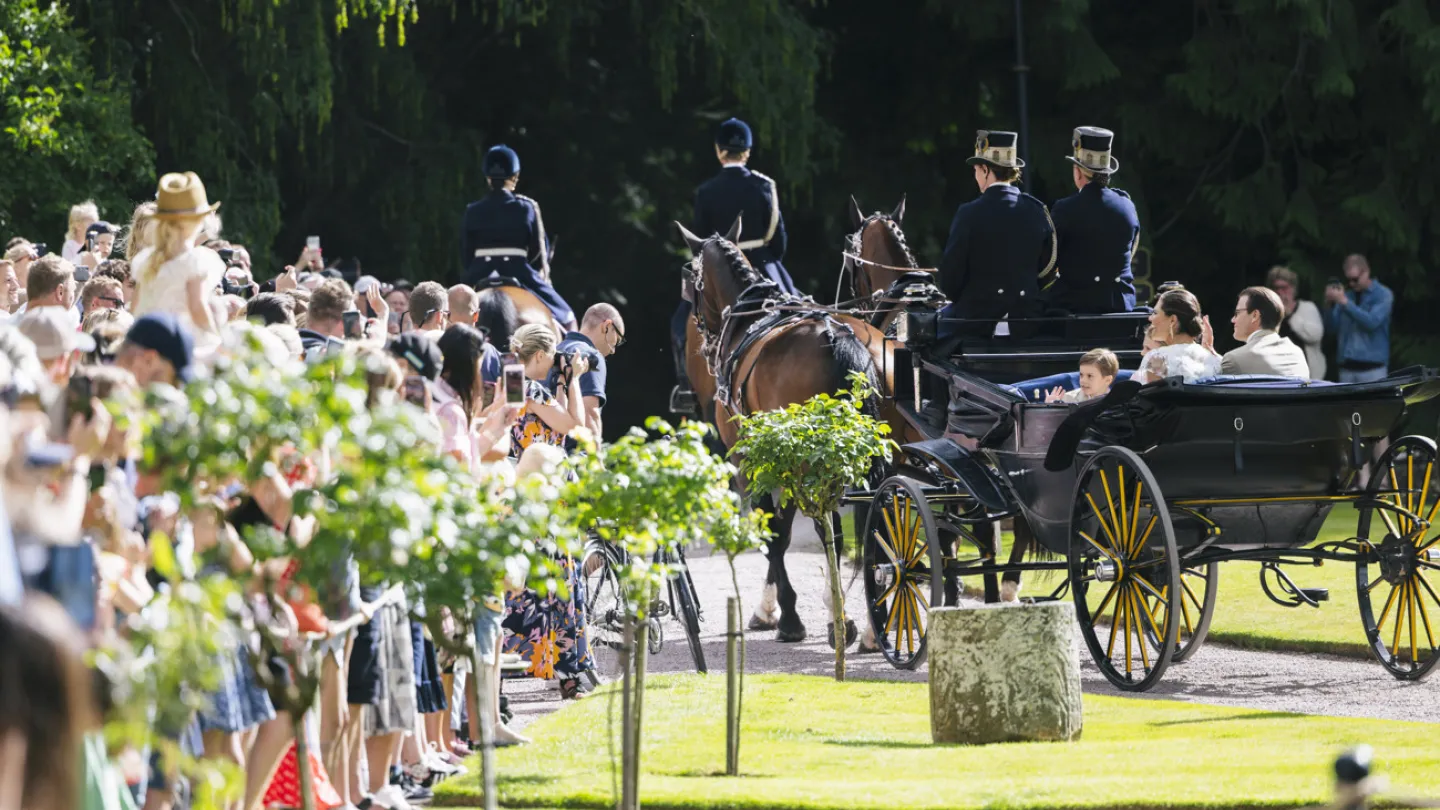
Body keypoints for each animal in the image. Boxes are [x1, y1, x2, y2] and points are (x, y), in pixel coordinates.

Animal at [676, 214, 887, 642]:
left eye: (691, 279)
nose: (704, 342)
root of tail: (835, 338)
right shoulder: (782, 459)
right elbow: (787, 529)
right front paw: (782, 607)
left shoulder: (749, 459)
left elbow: (773, 530)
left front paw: (785, 614)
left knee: (829, 526)